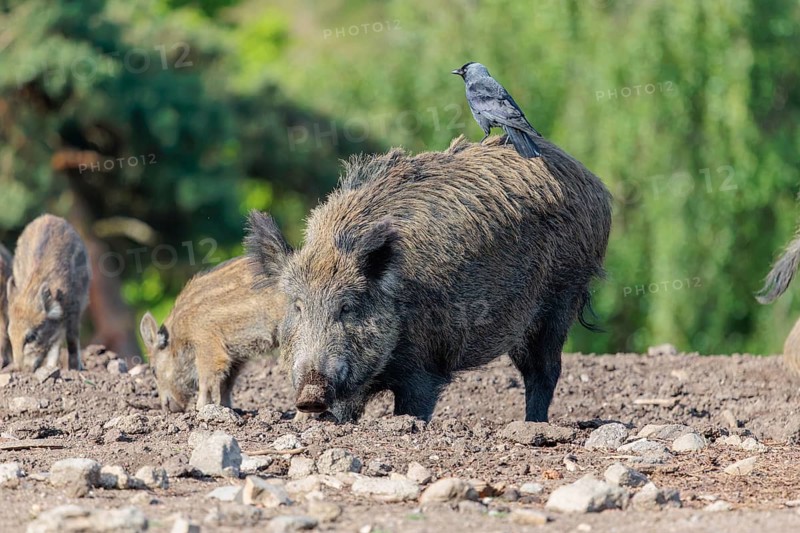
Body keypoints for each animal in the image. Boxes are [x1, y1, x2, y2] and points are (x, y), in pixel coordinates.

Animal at [6, 215, 91, 371]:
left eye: (31, 337)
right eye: (10, 335)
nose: (21, 370)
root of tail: (48, 217)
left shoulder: (75, 308)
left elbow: (72, 339)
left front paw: (75, 368)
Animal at [139, 256, 286, 412]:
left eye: (153, 371)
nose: (167, 409)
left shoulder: (207, 342)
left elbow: (205, 378)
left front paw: (200, 409)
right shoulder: (235, 356)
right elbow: (226, 383)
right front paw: (226, 408)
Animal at [246, 135, 612, 422]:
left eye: (347, 307)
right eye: (297, 307)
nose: (310, 396)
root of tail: (594, 183)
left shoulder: (425, 365)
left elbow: (414, 407)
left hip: (561, 295)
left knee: (544, 370)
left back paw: (532, 425)